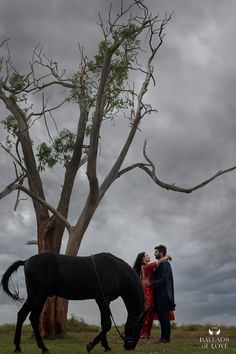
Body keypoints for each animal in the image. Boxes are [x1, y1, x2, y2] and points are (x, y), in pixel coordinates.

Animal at [0, 253, 145, 352]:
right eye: (138, 326)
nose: (130, 346)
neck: (116, 271)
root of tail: (26, 261)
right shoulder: (102, 300)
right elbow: (107, 324)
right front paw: (90, 345)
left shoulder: (104, 301)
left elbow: (104, 323)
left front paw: (106, 346)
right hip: (40, 296)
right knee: (33, 318)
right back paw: (43, 347)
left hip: (32, 297)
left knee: (21, 315)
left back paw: (17, 347)